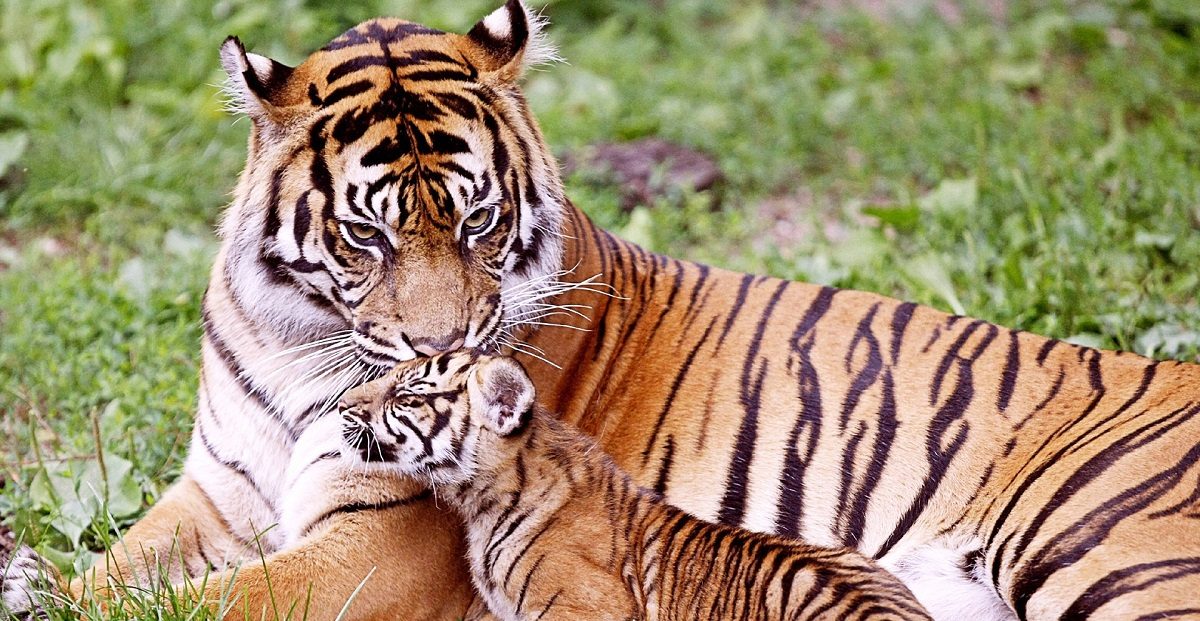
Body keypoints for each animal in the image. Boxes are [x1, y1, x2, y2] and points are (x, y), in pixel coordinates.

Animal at [9, 1, 1200, 621]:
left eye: (480, 222)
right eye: (368, 237)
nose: (445, 351)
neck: (299, 343)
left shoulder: (381, 545)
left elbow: (176, 605)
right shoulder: (215, 492)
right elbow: (117, 569)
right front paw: (37, 576)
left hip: (1110, 555)